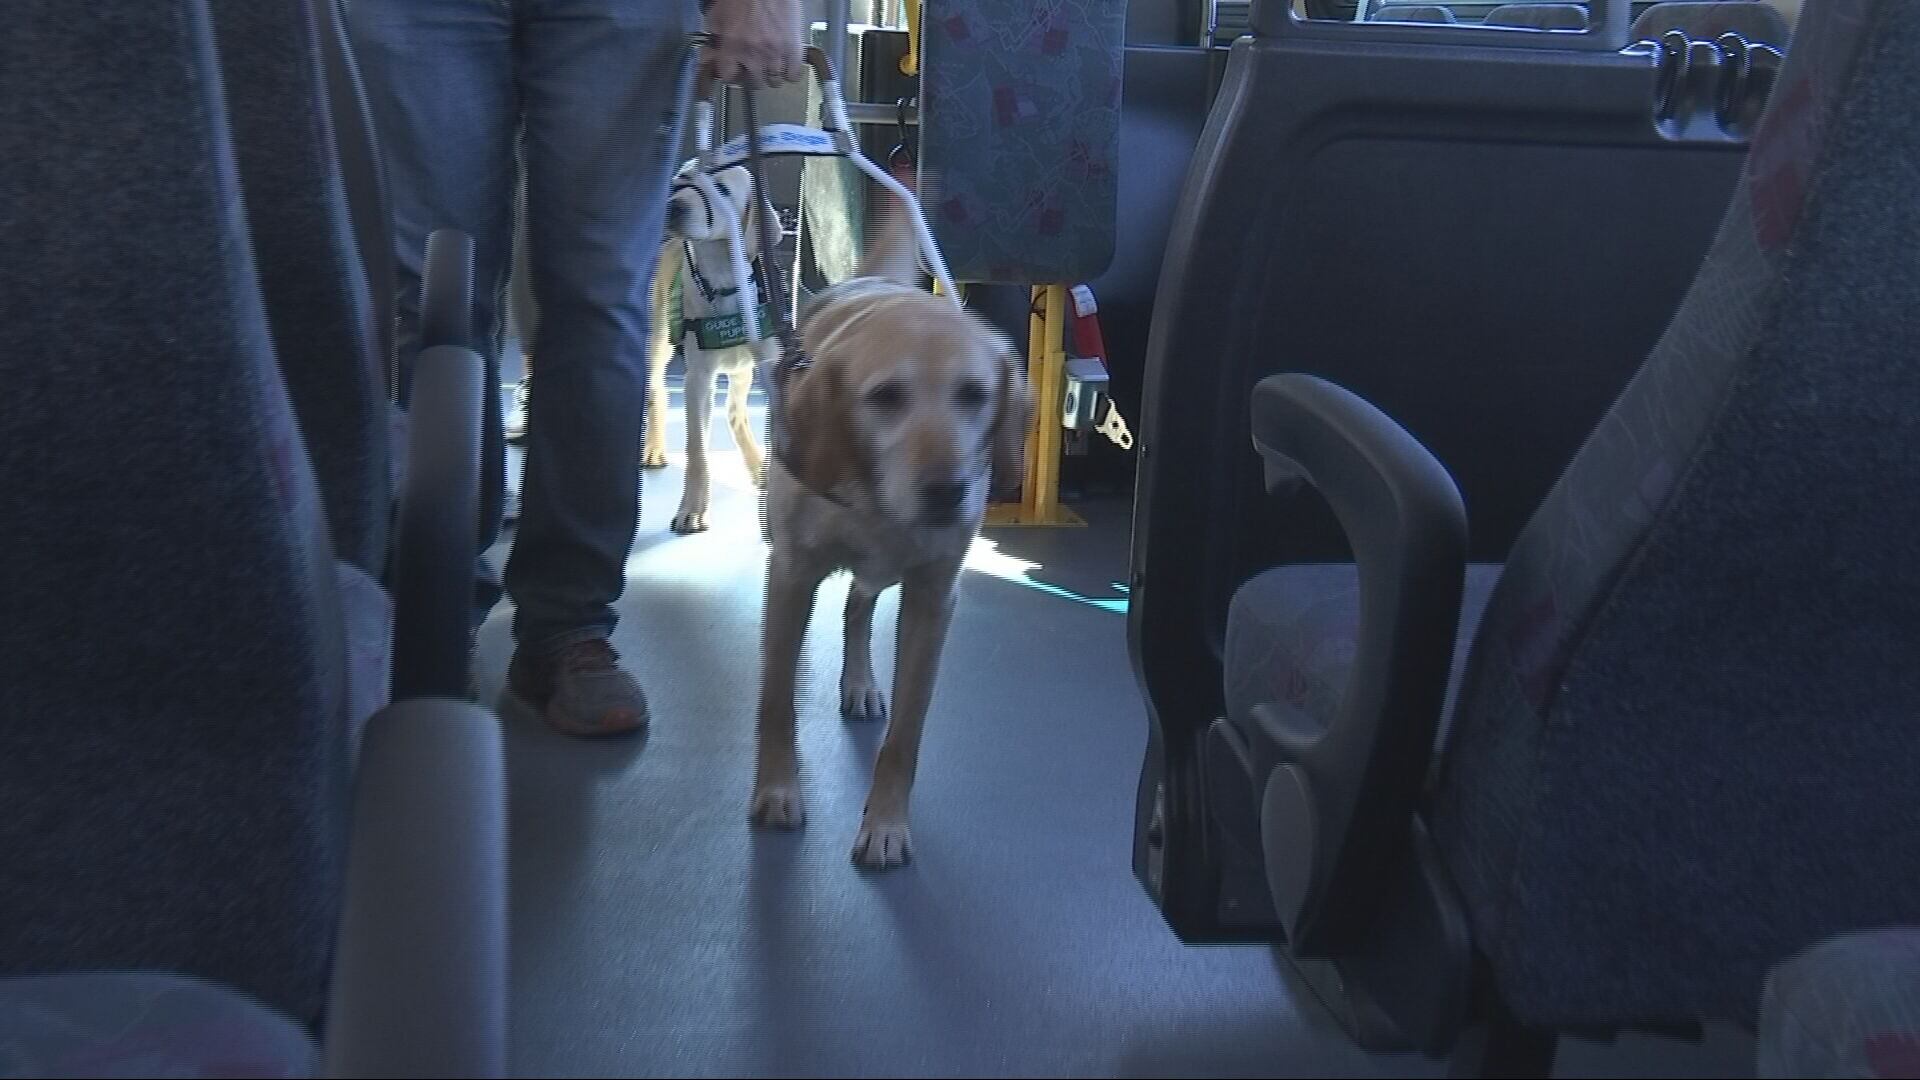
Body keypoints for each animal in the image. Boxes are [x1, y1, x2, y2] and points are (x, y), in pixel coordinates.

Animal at [741, 184, 1029, 864]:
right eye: (886, 398)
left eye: (974, 395)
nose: (947, 492)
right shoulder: (790, 576)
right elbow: (776, 701)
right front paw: (778, 791)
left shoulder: (933, 597)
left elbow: (907, 732)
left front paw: (886, 824)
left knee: (858, 607)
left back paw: (861, 682)